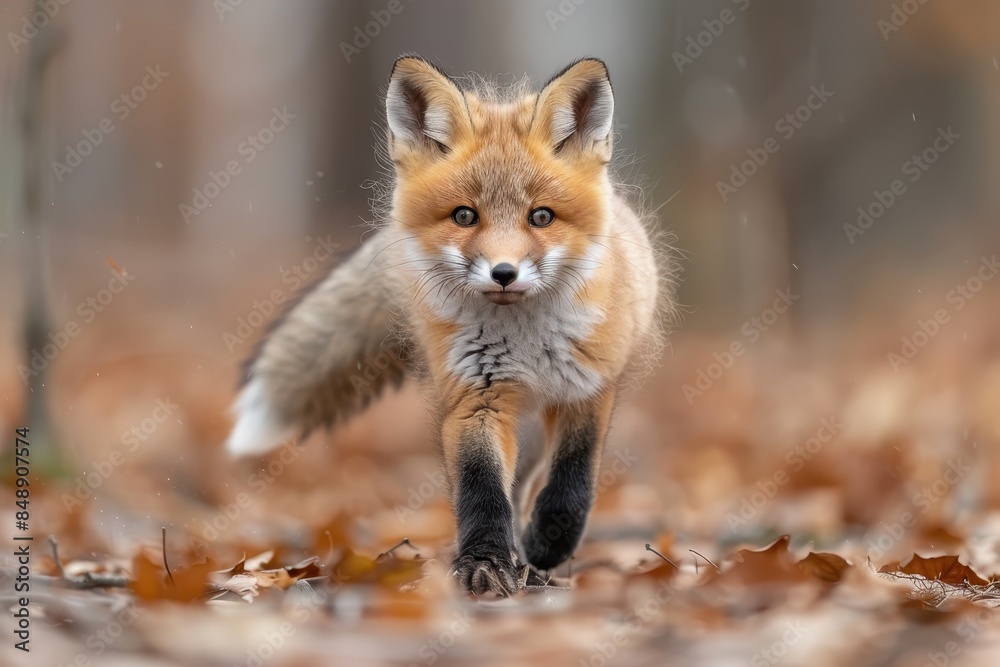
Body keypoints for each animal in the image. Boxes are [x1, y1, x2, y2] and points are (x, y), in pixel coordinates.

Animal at [226, 55, 673, 596]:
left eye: (541, 217)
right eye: (464, 216)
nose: (504, 273)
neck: (525, 340)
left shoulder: (588, 389)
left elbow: (573, 481)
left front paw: (547, 543)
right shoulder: (475, 397)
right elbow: (481, 488)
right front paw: (486, 562)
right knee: (511, 486)